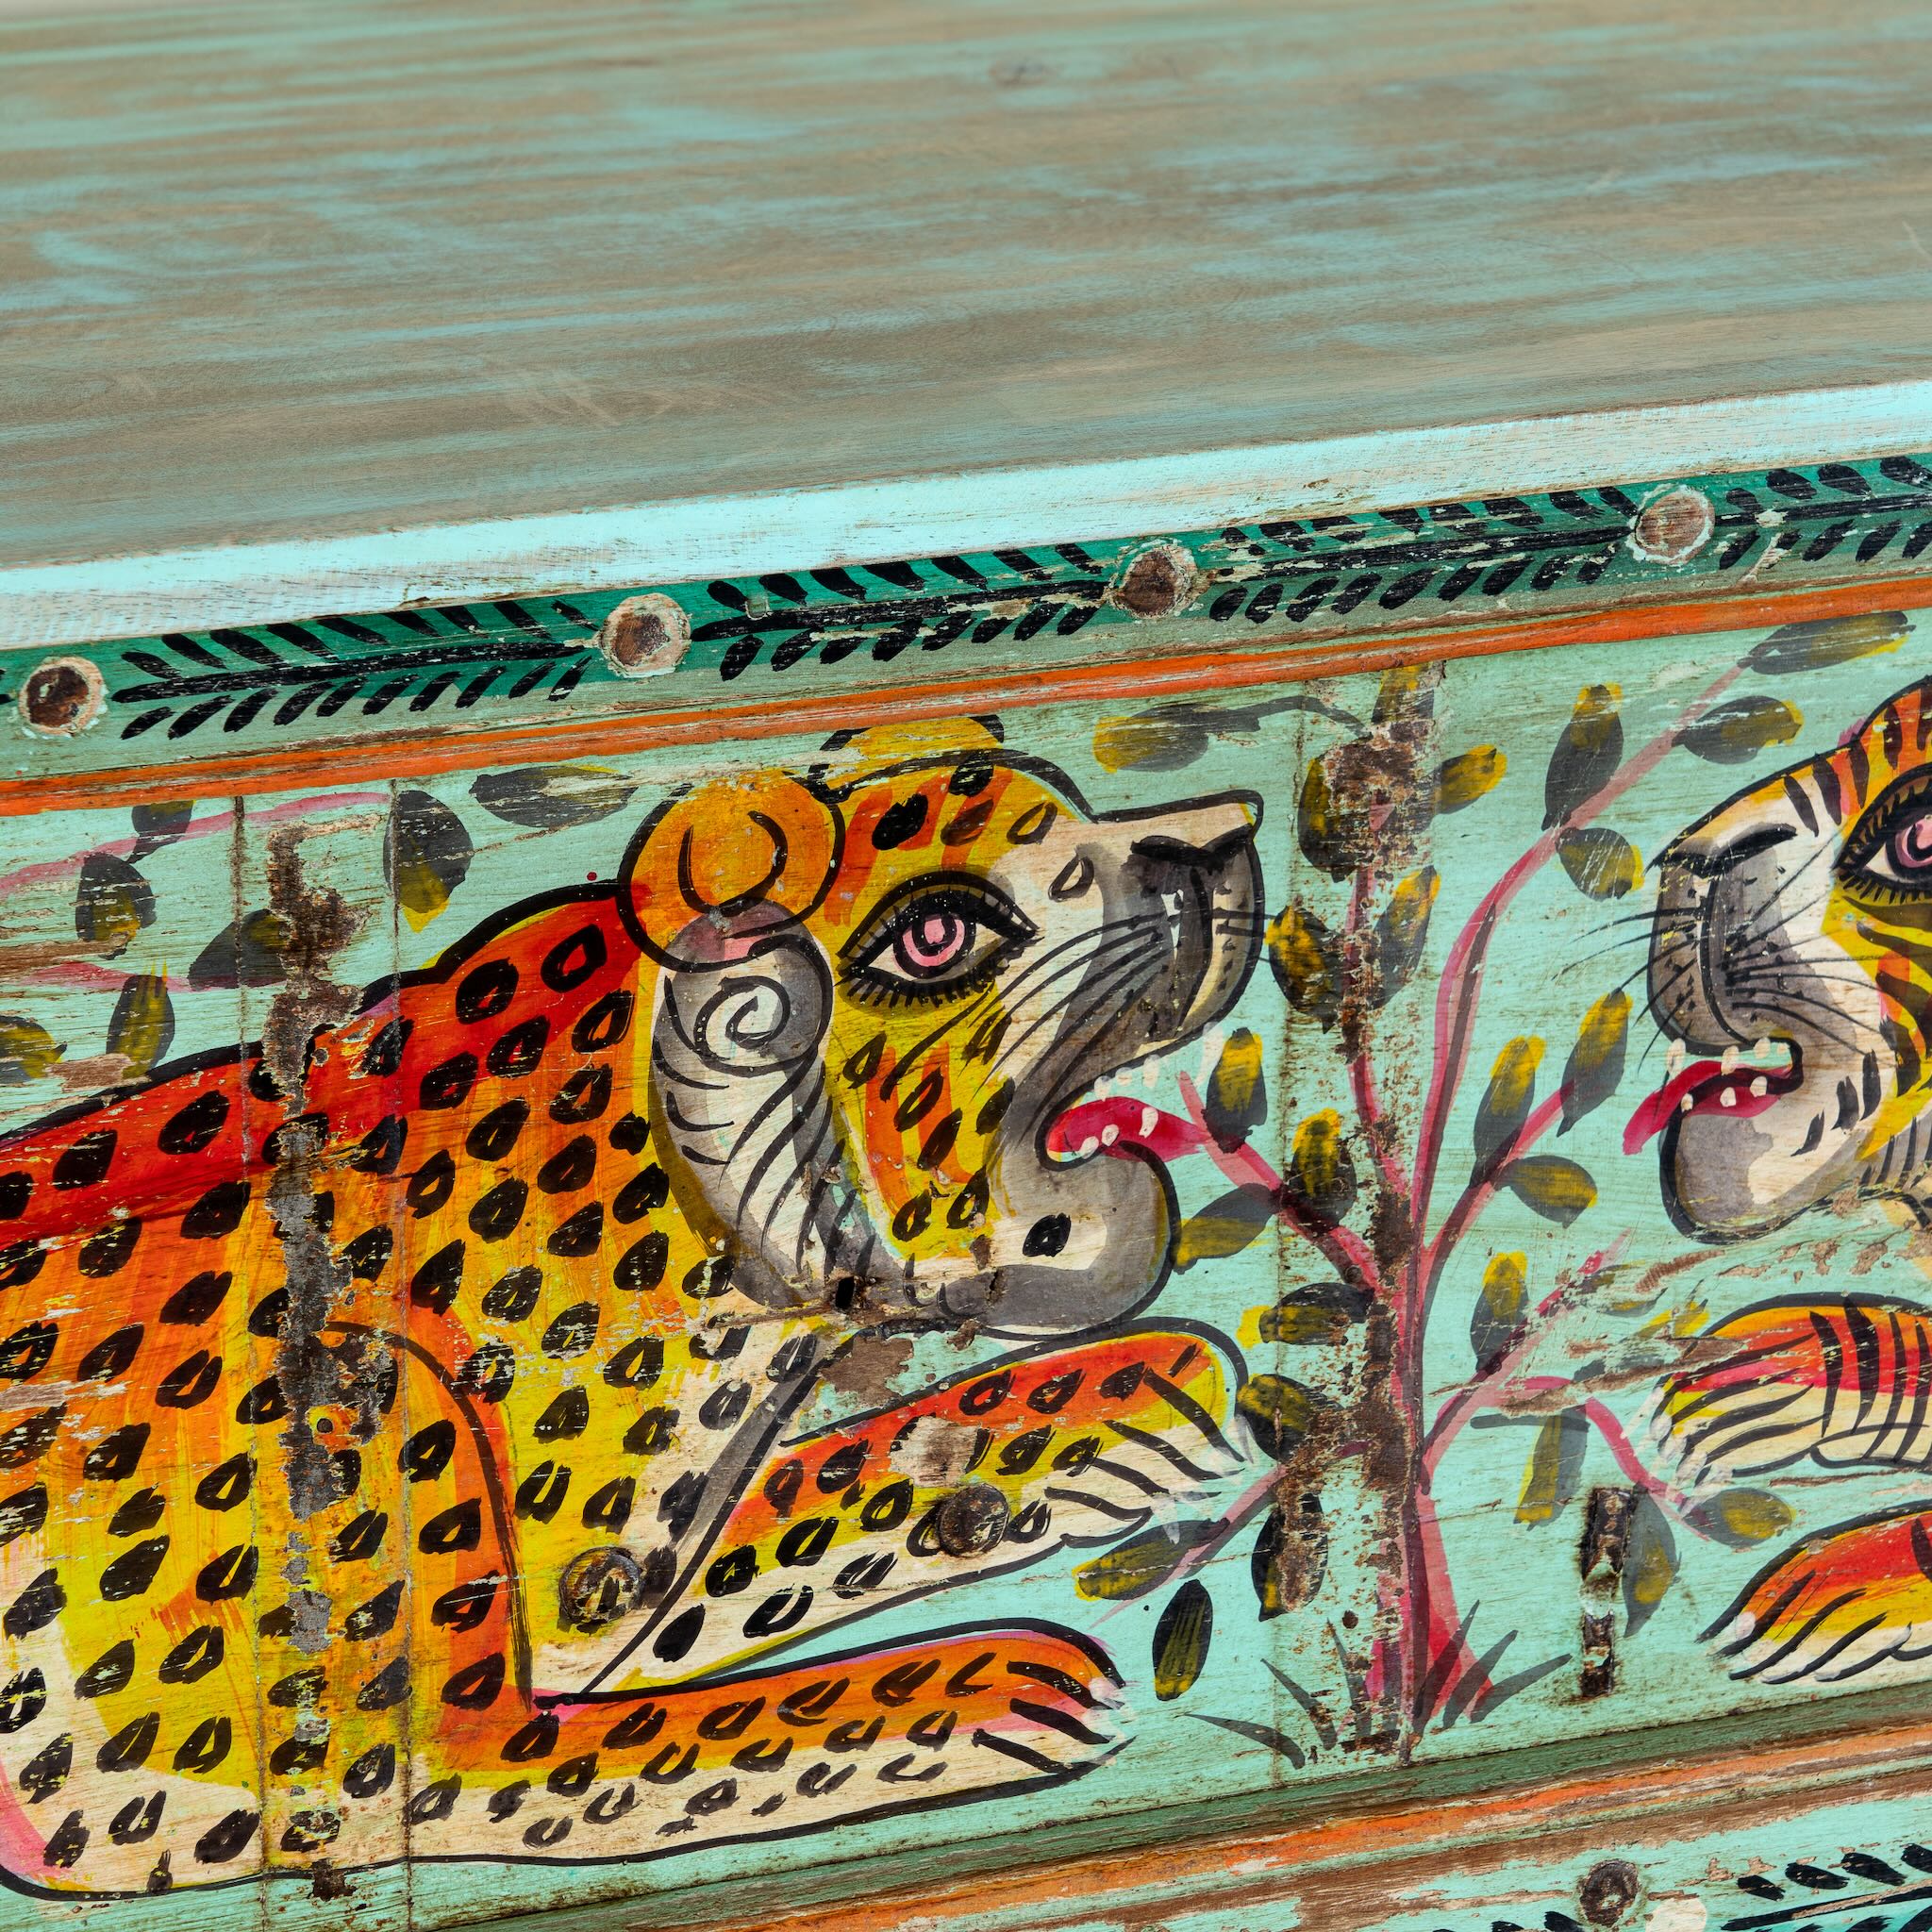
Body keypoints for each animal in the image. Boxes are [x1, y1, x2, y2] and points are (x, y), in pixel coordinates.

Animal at [0, 719, 1262, 1898]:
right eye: (938, 932)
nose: (1221, 840)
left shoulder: (614, 1589)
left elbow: (815, 1495)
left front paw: (1130, 1393)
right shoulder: (392, 1767)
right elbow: (681, 1739)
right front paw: (983, 1677)